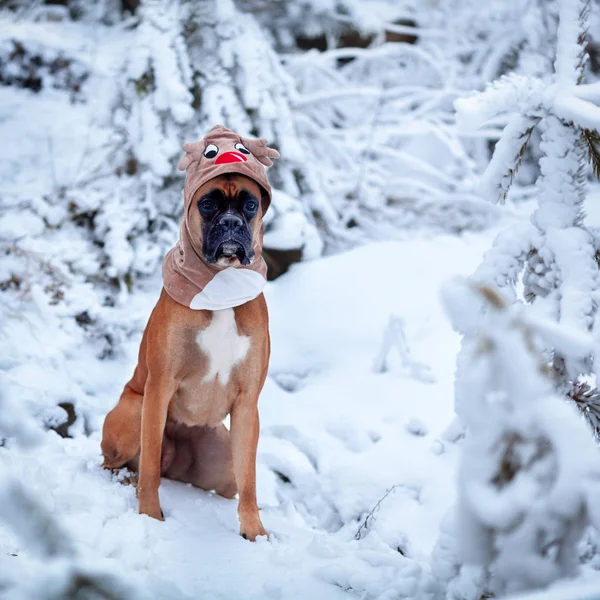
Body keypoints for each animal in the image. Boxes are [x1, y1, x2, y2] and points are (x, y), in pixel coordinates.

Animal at [102, 124, 280, 540]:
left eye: (250, 205)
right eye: (208, 204)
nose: (231, 223)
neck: (222, 285)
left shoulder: (247, 405)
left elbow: (249, 482)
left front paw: (255, 531)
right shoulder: (159, 388)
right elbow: (150, 465)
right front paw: (150, 516)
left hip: (221, 459)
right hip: (133, 412)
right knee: (123, 464)